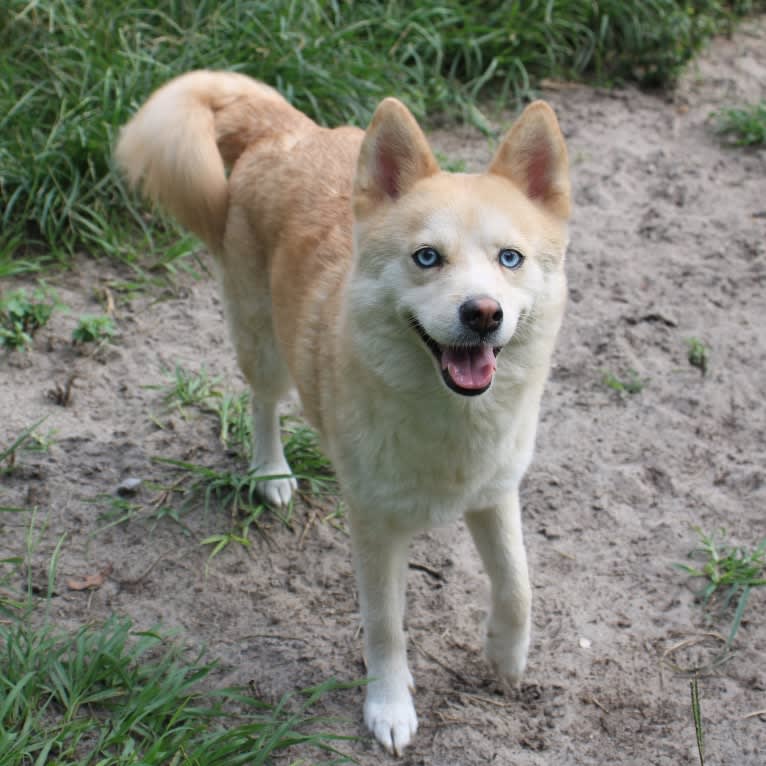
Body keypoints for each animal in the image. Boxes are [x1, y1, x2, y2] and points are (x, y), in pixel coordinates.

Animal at [117, 72, 572, 756]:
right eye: (427, 257)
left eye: (509, 258)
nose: (482, 313)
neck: (448, 418)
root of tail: (286, 130)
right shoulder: (375, 527)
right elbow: (385, 626)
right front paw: (389, 705)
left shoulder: (496, 494)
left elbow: (518, 587)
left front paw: (505, 659)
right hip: (263, 344)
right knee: (262, 404)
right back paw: (272, 474)